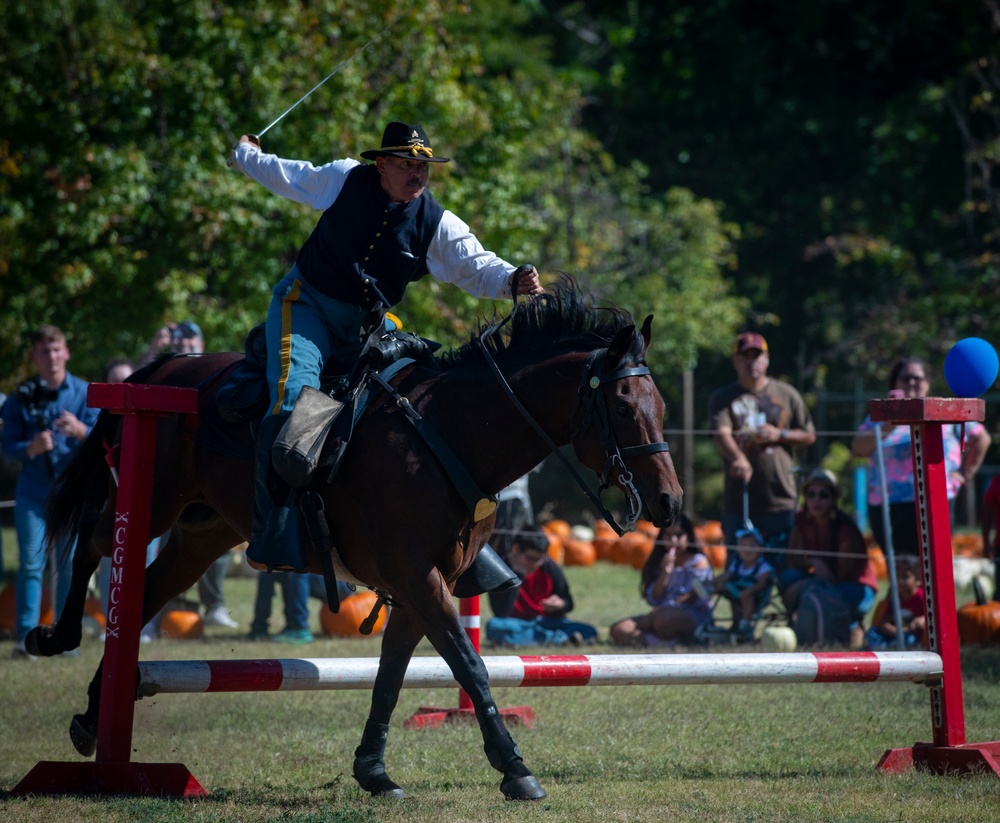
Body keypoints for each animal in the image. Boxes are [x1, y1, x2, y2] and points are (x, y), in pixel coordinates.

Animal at [33, 280, 688, 800]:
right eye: (624, 407)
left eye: (660, 404)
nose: (669, 502)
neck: (447, 433)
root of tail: (163, 371)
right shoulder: (419, 579)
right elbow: (470, 666)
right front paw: (515, 769)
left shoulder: (424, 585)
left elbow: (391, 677)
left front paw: (373, 770)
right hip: (154, 503)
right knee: (94, 545)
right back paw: (57, 638)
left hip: (202, 534)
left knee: (144, 594)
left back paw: (92, 715)